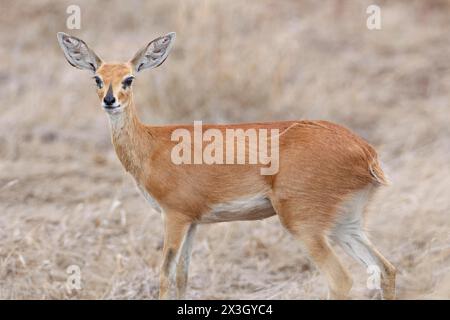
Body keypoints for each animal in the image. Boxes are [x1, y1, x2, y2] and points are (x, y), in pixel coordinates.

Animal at [57, 31, 398, 298]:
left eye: (129, 78)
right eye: (97, 78)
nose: (109, 100)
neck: (152, 145)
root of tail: (365, 152)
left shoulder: (174, 216)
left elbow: (165, 274)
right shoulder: (193, 221)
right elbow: (182, 276)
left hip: (304, 225)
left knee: (341, 280)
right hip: (346, 224)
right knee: (386, 269)